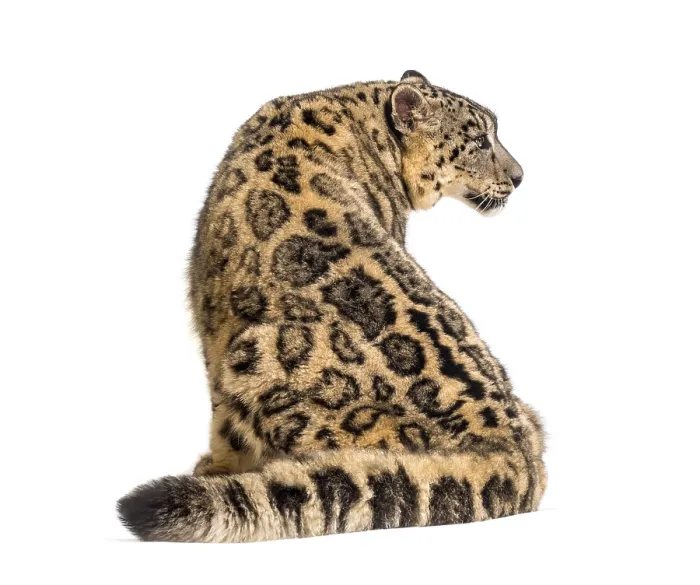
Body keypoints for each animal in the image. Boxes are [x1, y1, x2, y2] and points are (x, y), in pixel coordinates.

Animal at [118, 70, 546, 542]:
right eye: (480, 140)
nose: (520, 176)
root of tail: (514, 447)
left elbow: (222, 421)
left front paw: (216, 467)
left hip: (261, 357)